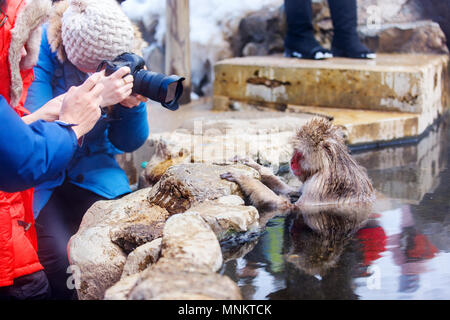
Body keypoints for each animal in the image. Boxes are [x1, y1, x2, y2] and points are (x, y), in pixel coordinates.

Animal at [220, 117, 374, 212]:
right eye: (294, 151)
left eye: (299, 152)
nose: (291, 161)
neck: (328, 165)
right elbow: (290, 191)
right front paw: (253, 164)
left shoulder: (320, 183)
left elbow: (290, 207)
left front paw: (245, 179)